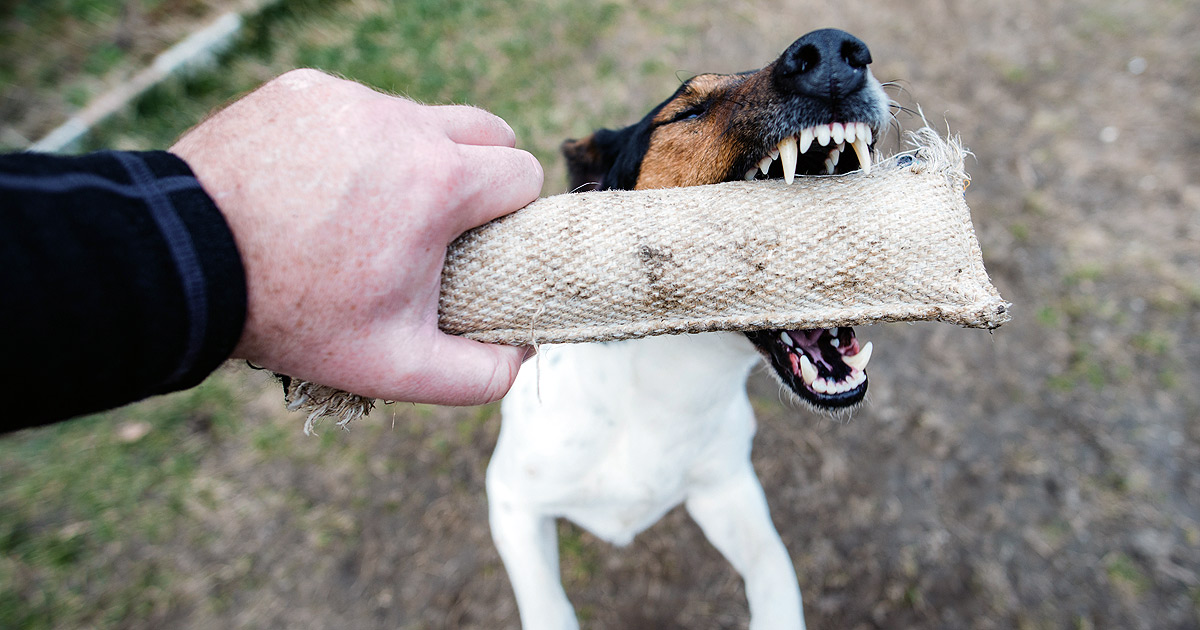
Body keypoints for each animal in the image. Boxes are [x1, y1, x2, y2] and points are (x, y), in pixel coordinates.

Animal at [487, 29, 892, 628]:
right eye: (687, 111)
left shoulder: (725, 490)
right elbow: (547, 606)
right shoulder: (512, 502)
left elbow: (777, 578)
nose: (832, 54)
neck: (672, 382)